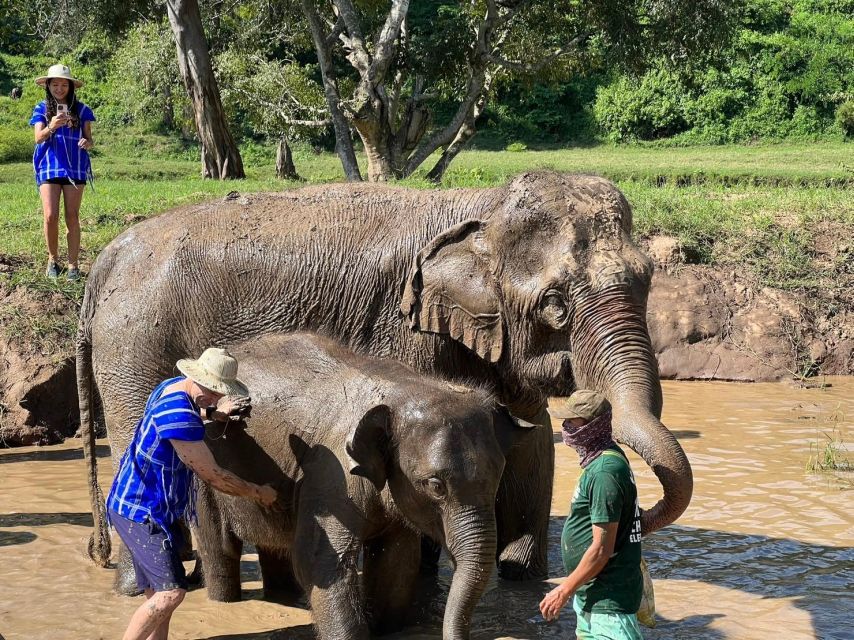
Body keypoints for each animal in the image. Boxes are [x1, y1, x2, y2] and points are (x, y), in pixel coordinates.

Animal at [77, 170, 696, 592]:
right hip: (133, 348)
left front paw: (519, 576)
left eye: (647, 279)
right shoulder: (404, 328)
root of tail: (102, 261)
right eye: (554, 304)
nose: (638, 518)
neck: (482, 207)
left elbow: (532, 437)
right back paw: (146, 585)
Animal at [197, 332, 532, 636]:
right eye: (436, 486)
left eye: (498, 477)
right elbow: (321, 564)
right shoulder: (330, 472)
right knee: (219, 548)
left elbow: (395, 563)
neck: (404, 388)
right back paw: (224, 600)